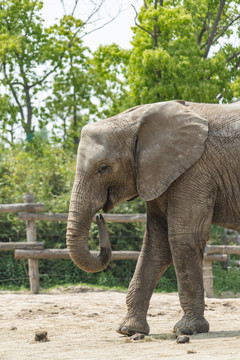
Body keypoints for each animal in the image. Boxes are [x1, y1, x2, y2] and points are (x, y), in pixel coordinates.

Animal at [66, 100, 240, 336]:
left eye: (104, 168)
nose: (100, 216)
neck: (137, 120)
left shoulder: (195, 170)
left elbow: (183, 237)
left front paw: (187, 329)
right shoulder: (157, 172)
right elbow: (156, 243)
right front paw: (128, 330)